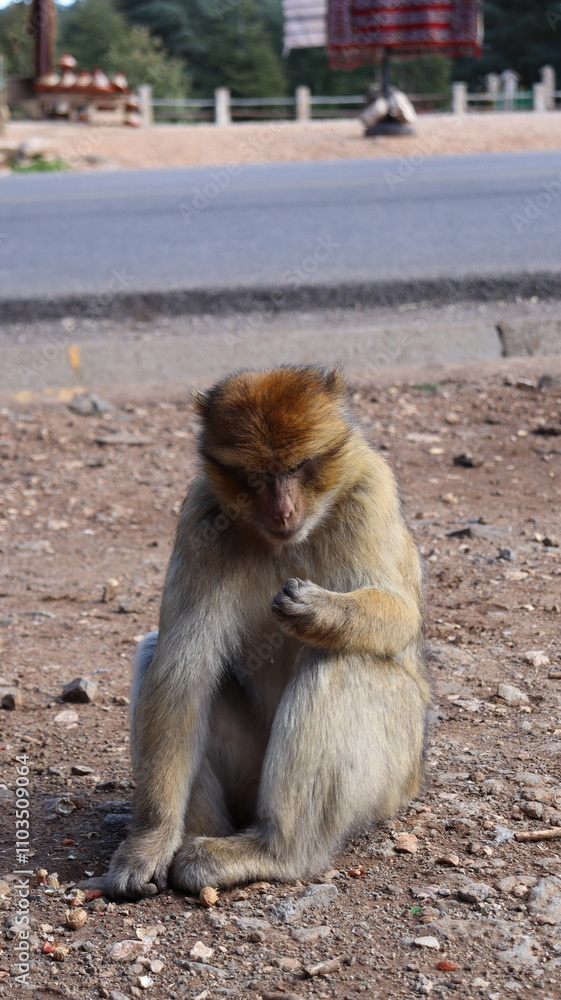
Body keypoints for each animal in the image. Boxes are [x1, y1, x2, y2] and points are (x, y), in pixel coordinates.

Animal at [97, 364, 429, 899]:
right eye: (256, 476)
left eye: (296, 468)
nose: (283, 512)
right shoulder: (201, 515)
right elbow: (179, 672)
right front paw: (149, 841)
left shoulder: (370, 489)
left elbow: (402, 616)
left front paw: (320, 612)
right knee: (156, 656)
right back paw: (199, 837)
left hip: (395, 777)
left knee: (340, 662)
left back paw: (275, 851)